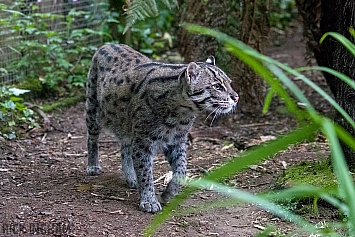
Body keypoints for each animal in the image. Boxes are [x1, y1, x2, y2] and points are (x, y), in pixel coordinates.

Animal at [85, 44, 239, 213]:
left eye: (230, 83)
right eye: (217, 86)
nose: (236, 97)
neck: (182, 112)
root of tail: (108, 44)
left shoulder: (177, 140)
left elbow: (182, 168)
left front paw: (169, 193)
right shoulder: (143, 141)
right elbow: (145, 172)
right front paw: (149, 200)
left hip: (127, 126)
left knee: (125, 147)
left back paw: (131, 177)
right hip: (93, 109)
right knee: (92, 138)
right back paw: (93, 166)